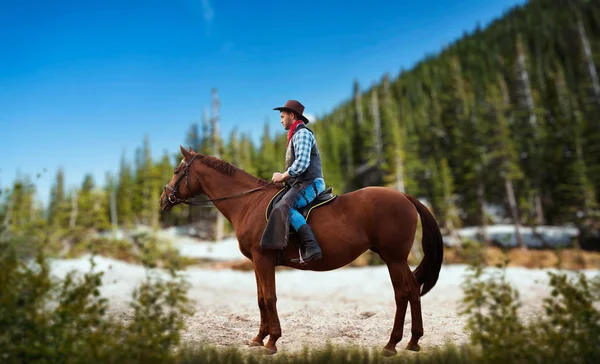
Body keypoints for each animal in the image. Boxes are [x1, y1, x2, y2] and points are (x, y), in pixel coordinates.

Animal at [161, 144, 446, 356]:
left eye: (177, 170)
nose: (163, 199)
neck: (248, 203)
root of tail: (404, 197)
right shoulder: (256, 262)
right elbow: (261, 299)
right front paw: (258, 338)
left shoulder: (263, 259)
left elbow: (270, 298)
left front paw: (272, 341)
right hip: (397, 259)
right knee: (413, 291)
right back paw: (413, 341)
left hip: (393, 258)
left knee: (402, 294)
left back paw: (391, 344)